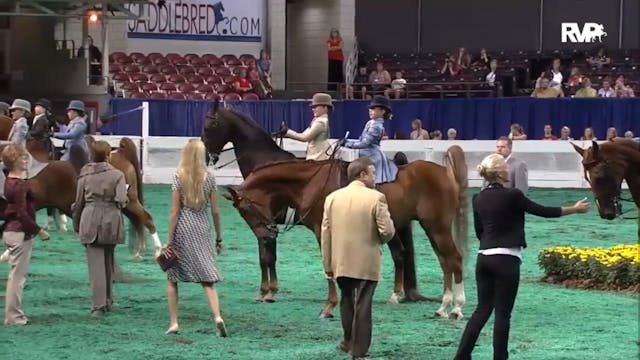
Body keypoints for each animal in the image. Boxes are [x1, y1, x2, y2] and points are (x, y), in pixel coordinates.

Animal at [225, 148, 470, 320]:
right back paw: (443, 307)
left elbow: (330, 269)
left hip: (438, 228)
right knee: (445, 263)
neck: (311, 183)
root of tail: (444, 172)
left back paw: (457, 308)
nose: (267, 234)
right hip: (432, 230)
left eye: (245, 209)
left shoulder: (322, 231)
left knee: (455, 260)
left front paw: (329, 306)